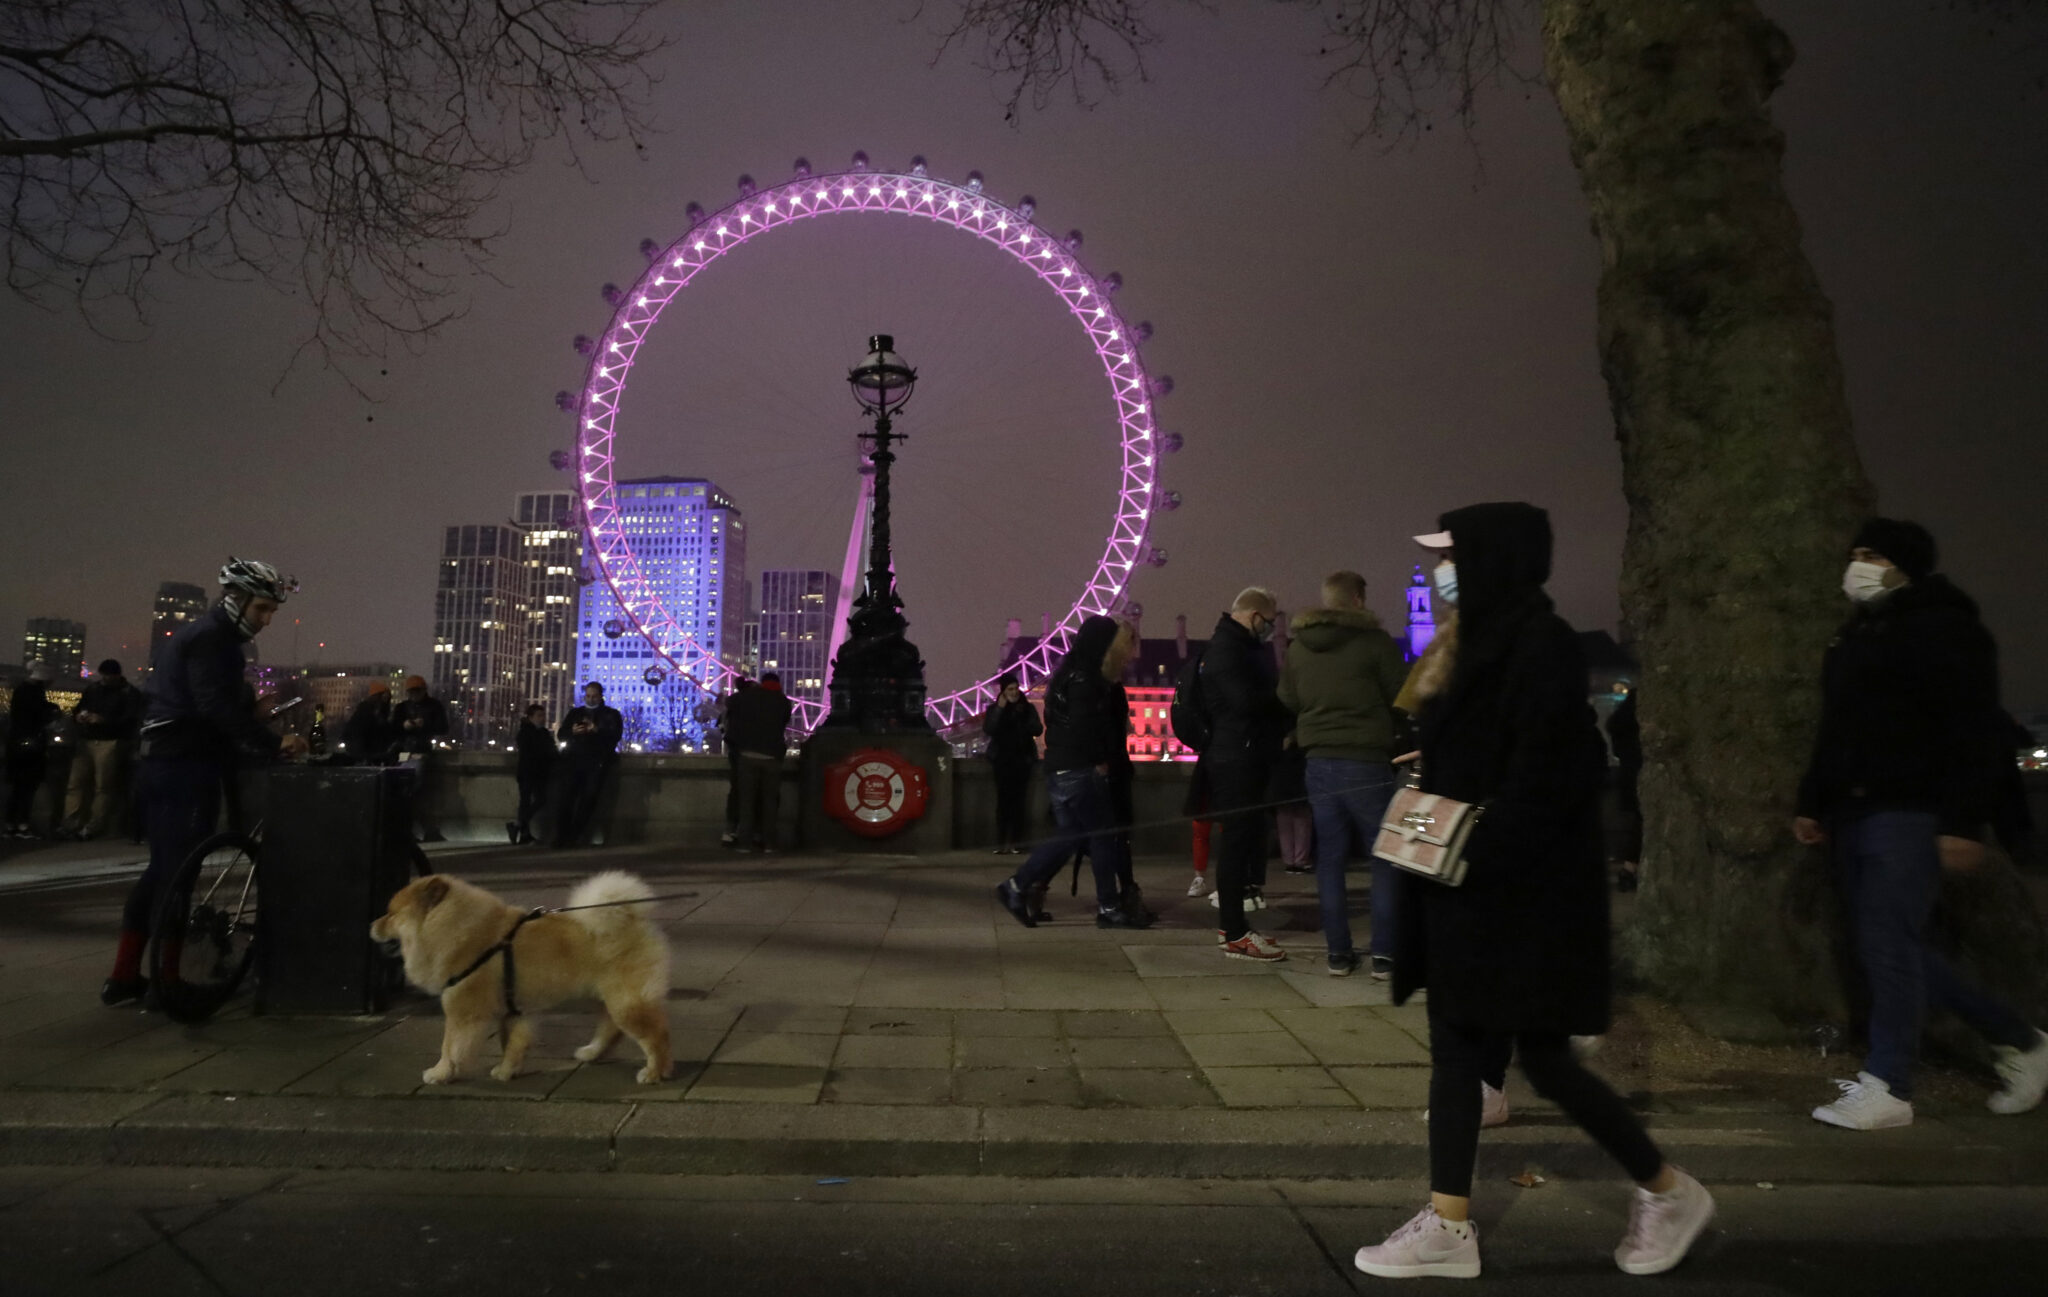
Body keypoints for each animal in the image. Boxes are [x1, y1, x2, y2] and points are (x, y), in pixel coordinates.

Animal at [372, 868, 675, 1081]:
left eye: (391, 915)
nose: (371, 924)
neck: (462, 933)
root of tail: (634, 919)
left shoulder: (462, 1011)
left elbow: (450, 1046)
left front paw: (440, 1073)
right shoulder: (515, 1011)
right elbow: (512, 1043)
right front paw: (507, 1071)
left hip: (625, 1001)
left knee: (656, 1036)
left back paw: (654, 1073)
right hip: (602, 996)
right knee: (611, 1027)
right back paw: (591, 1051)